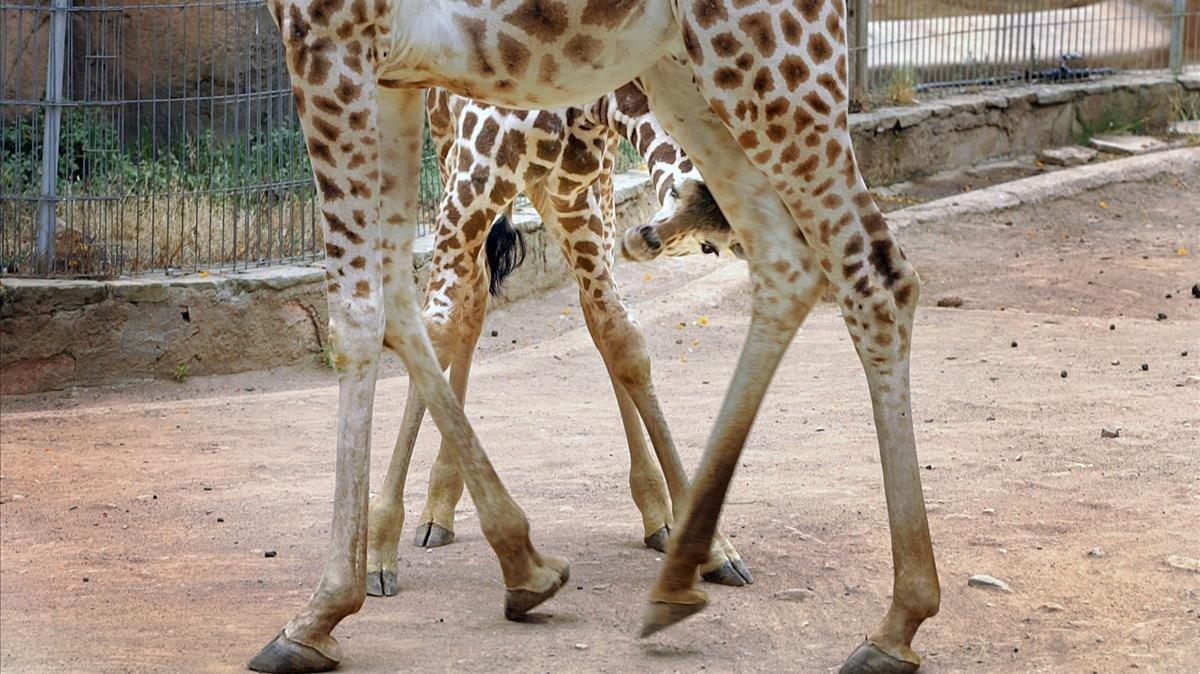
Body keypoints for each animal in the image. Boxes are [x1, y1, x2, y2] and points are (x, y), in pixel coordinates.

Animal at [364, 81, 753, 603]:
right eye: (713, 240)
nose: (647, 239)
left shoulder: (578, 199)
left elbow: (621, 338)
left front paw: (713, 548)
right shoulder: (471, 181)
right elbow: (437, 333)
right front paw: (380, 550)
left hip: (581, 193)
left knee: (582, 314)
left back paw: (656, 516)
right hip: (450, 155)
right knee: (470, 302)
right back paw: (437, 512)